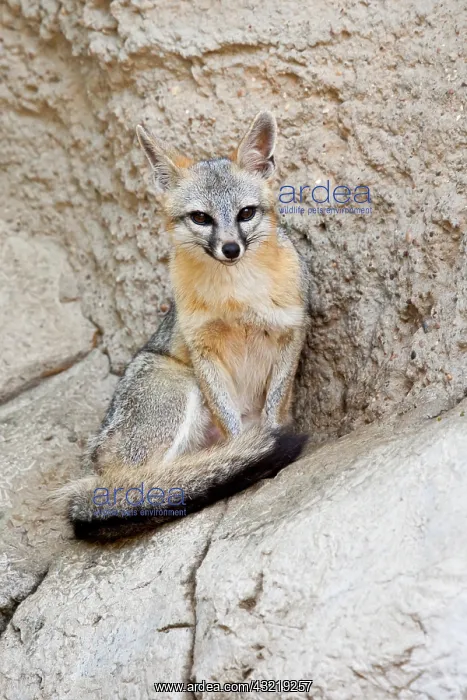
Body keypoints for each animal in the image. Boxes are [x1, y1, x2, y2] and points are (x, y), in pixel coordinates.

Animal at [66, 111, 310, 541]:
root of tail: (93, 465)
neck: (237, 297)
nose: (230, 249)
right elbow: (234, 429)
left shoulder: (290, 333)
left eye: (246, 213)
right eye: (201, 218)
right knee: (146, 483)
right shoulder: (203, 350)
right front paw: (251, 454)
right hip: (179, 386)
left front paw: (265, 445)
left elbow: (274, 407)